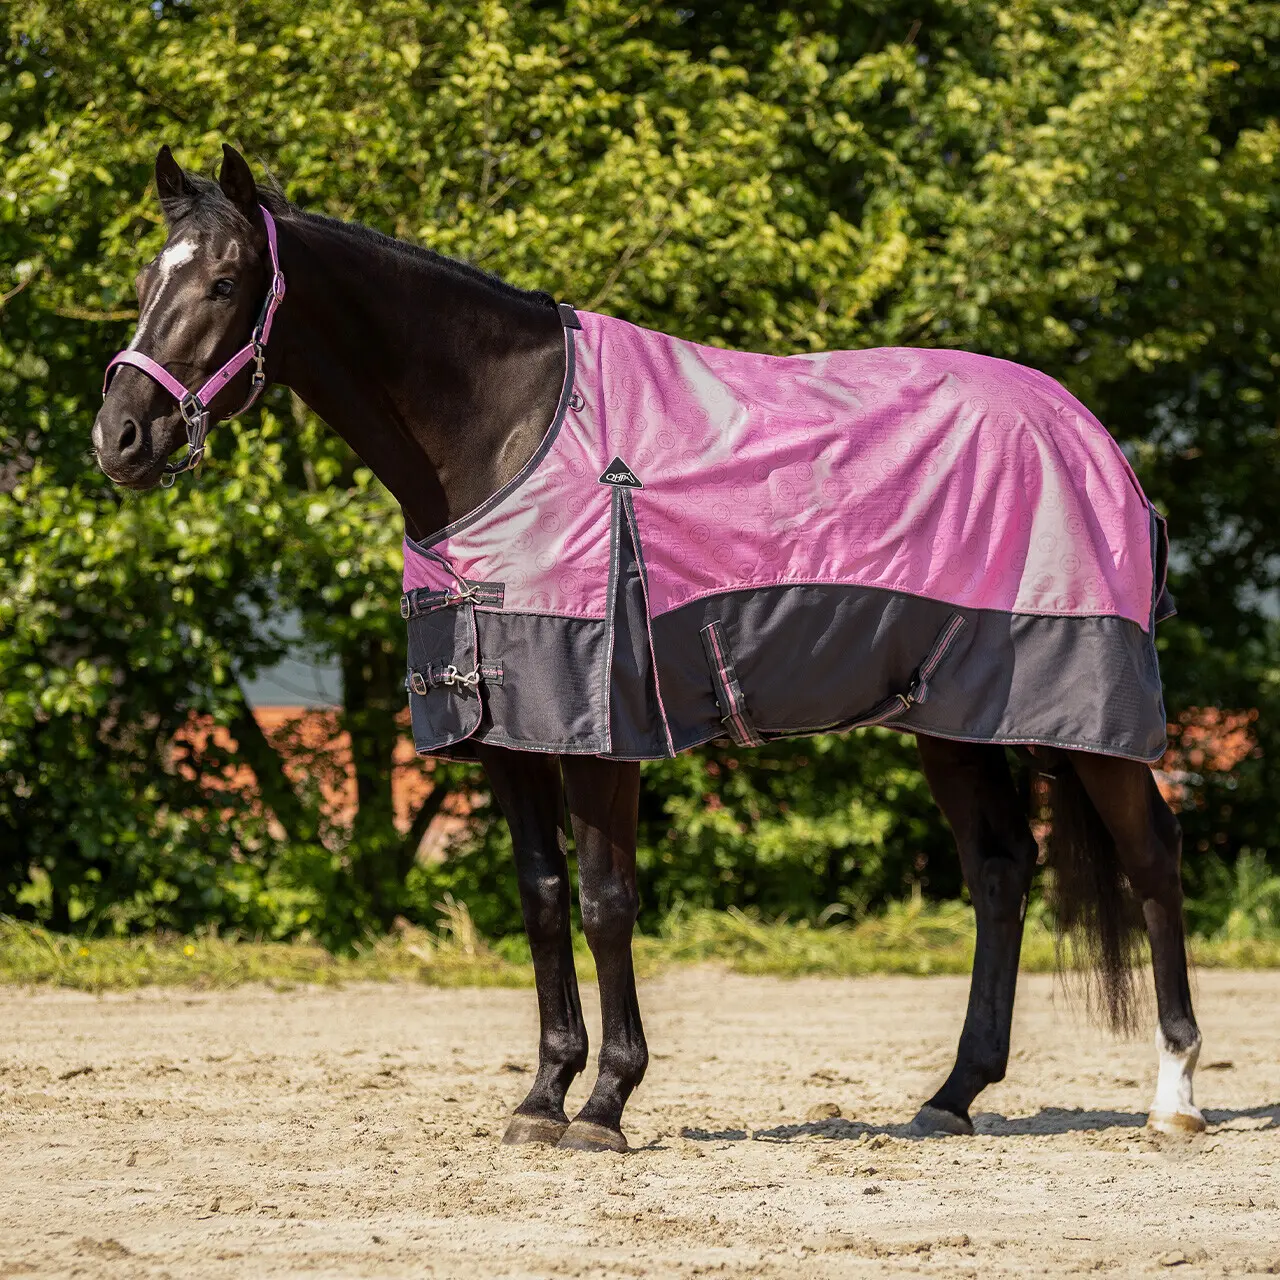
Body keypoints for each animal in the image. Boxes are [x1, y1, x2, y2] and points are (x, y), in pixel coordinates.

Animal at [93, 144, 1204, 1153]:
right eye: (149, 280)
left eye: (224, 281)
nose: (119, 438)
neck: (507, 433)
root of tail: (1097, 442)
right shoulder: (507, 730)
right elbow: (542, 902)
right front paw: (542, 1096)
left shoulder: (601, 726)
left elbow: (605, 902)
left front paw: (604, 1104)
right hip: (953, 716)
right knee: (1000, 871)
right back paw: (951, 1096)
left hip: (1087, 707)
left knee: (1151, 856)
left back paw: (1173, 1096)